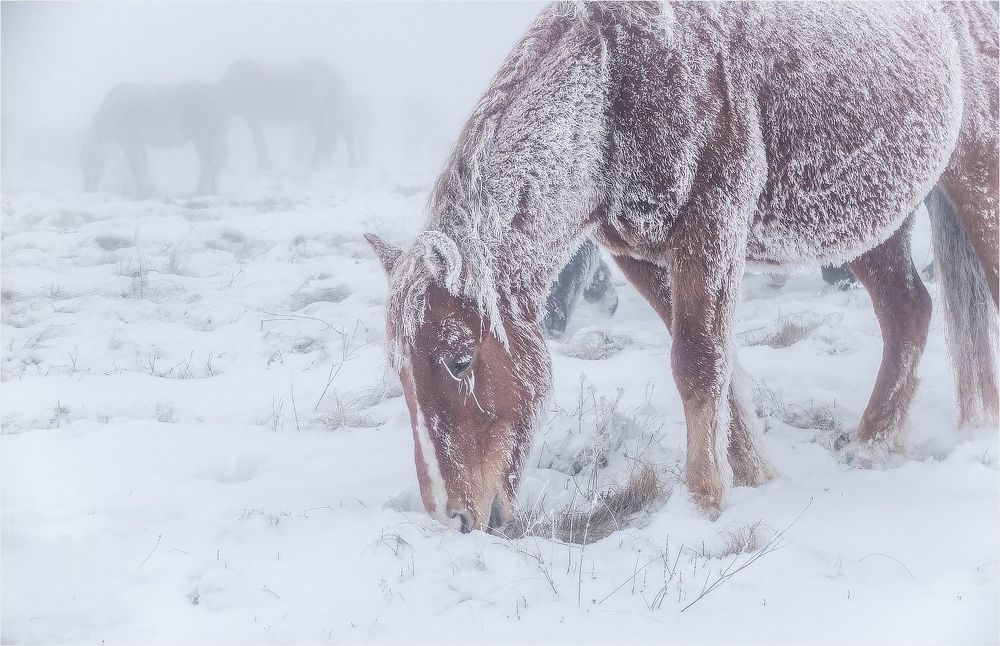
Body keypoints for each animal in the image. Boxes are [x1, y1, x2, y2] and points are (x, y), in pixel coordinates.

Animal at [81, 82, 229, 198]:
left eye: (87, 162)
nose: (87, 189)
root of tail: (221, 100)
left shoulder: (129, 139)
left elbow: (136, 165)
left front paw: (141, 192)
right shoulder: (137, 142)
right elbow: (142, 163)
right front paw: (148, 190)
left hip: (206, 136)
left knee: (209, 163)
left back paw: (200, 192)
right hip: (203, 139)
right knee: (212, 163)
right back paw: (212, 191)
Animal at [217, 59, 347, 170]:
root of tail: (337, 78)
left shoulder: (254, 116)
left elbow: (259, 141)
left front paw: (264, 165)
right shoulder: (251, 117)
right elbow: (259, 141)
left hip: (317, 114)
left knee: (321, 138)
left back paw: (312, 163)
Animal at [367, 2, 998, 532]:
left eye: (458, 360)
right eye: (401, 372)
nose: (454, 519)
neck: (617, 81)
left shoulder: (710, 227)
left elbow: (696, 362)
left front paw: (705, 501)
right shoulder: (640, 257)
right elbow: (715, 363)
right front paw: (753, 474)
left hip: (975, 175)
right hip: (862, 219)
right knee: (908, 311)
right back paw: (873, 443)